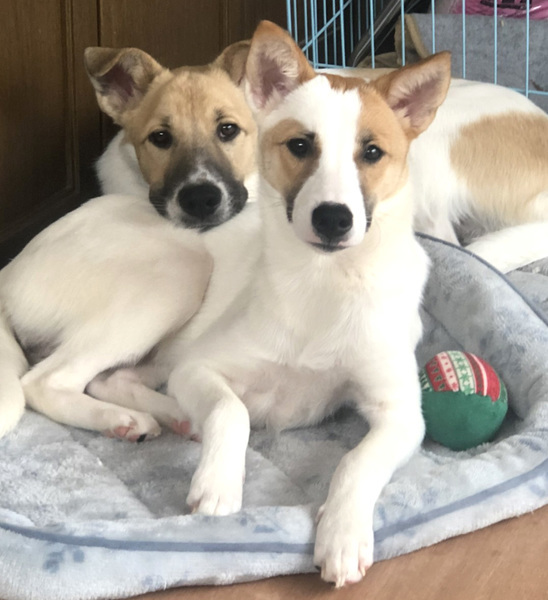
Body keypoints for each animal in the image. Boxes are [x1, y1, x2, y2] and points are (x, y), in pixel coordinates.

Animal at [0, 43, 257, 439]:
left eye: (227, 130)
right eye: (161, 138)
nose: (200, 199)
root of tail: (7, 276)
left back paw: (176, 415)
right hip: (176, 277)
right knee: (45, 381)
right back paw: (122, 419)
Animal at [165, 20, 451, 587]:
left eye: (372, 153)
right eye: (299, 144)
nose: (333, 218)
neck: (326, 283)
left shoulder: (402, 413)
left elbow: (356, 463)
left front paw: (342, 532)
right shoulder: (195, 367)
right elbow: (231, 410)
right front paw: (218, 483)